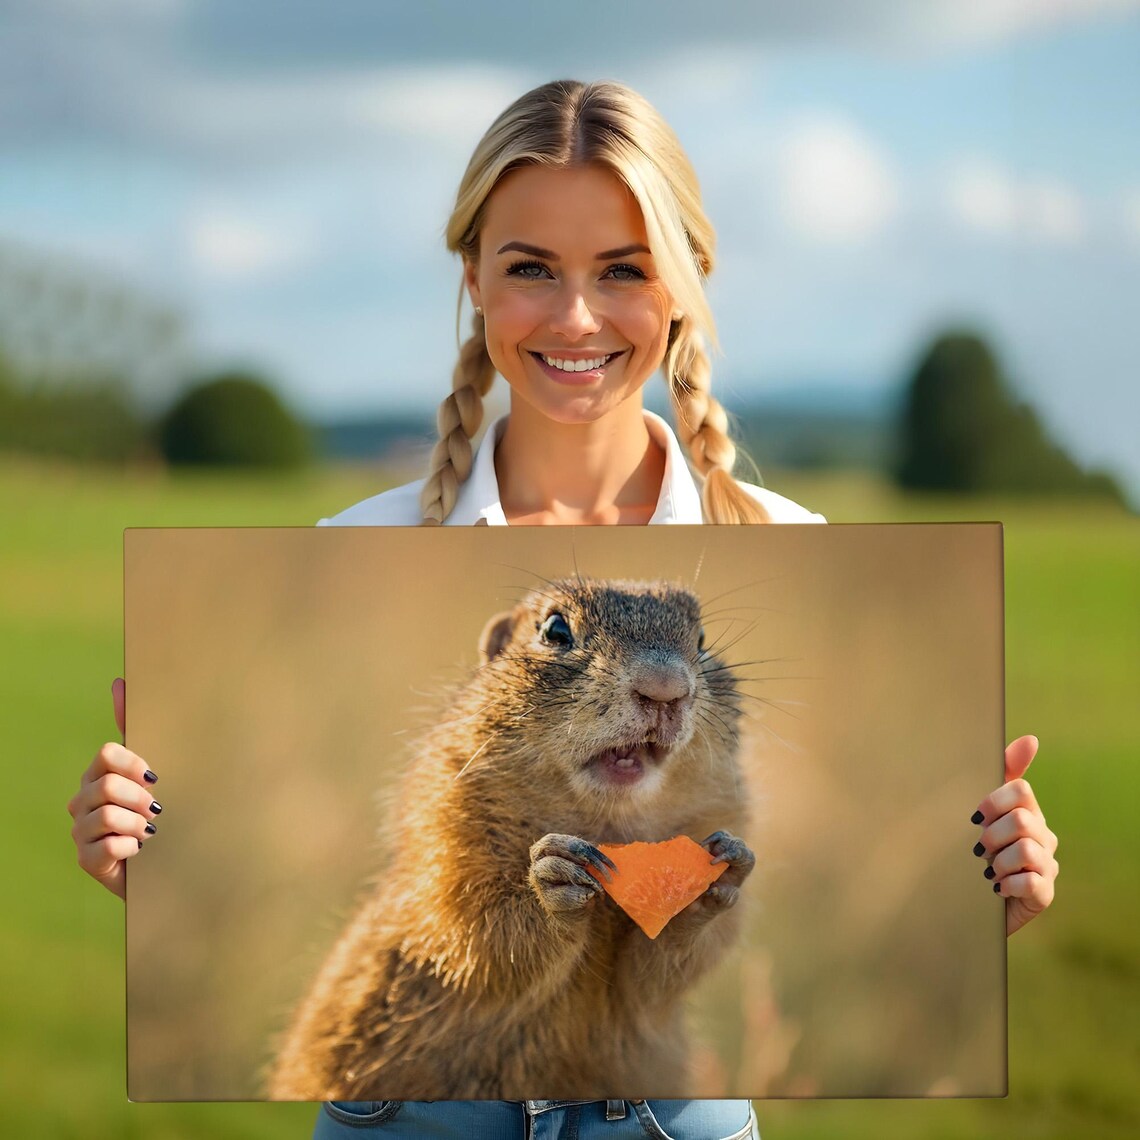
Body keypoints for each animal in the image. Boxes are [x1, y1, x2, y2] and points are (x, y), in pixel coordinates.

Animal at [269, 577, 754, 1101]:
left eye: (701, 639)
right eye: (555, 629)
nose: (665, 689)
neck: (608, 825)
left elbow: (654, 977)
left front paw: (717, 874)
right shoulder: (446, 839)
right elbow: (478, 932)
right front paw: (554, 877)